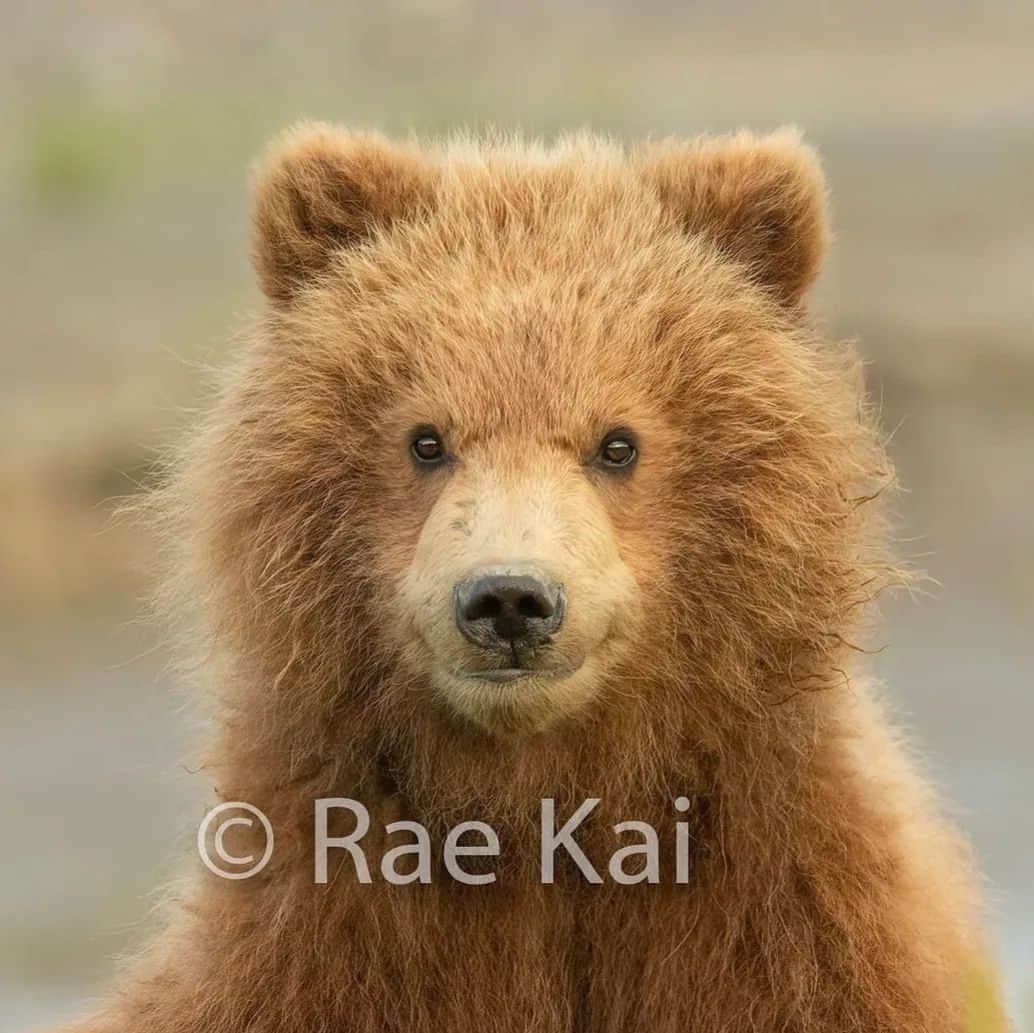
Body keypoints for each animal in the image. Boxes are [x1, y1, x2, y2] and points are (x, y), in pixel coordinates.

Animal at [55, 124, 1001, 1033]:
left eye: (617, 441)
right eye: (426, 438)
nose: (509, 598)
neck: (541, 808)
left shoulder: (786, 920)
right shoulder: (320, 929)